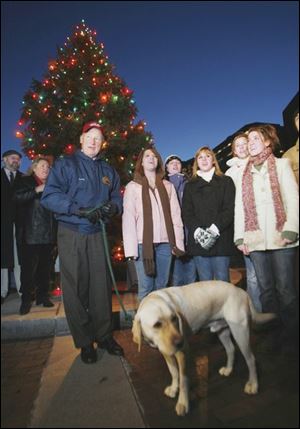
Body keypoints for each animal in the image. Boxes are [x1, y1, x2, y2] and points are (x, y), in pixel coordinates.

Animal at [132, 280, 276, 416]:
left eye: (174, 319)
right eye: (157, 325)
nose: (180, 342)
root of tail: (241, 291)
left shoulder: (182, 353)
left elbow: (183, 379)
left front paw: (183, 403)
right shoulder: (166, 352)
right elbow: (173, 372)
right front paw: (173, 388)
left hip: (240, 333)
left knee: (251, 359)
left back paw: (253, 385)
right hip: (223, 332)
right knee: (231, 350)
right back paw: (228, 370)